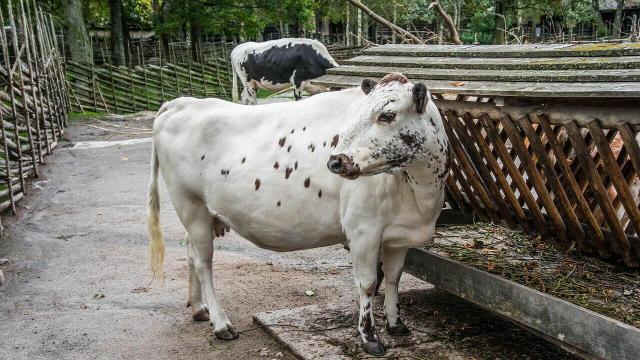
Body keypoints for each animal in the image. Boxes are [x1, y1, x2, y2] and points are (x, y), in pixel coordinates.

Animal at [147, 72, 448, 354]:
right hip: (191, 206)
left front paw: (396, 324)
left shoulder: (398, 237)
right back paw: (221, 324)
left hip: (200, 215)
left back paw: (199, 308)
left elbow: (395, 278)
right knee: (203, 263)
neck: (419, 193)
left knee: (190, 254)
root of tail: (182, 103)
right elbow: (368, 283)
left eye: (387, 115)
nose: (336, 161)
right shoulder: (363, 231)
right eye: (359, 112)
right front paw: (369, 338)